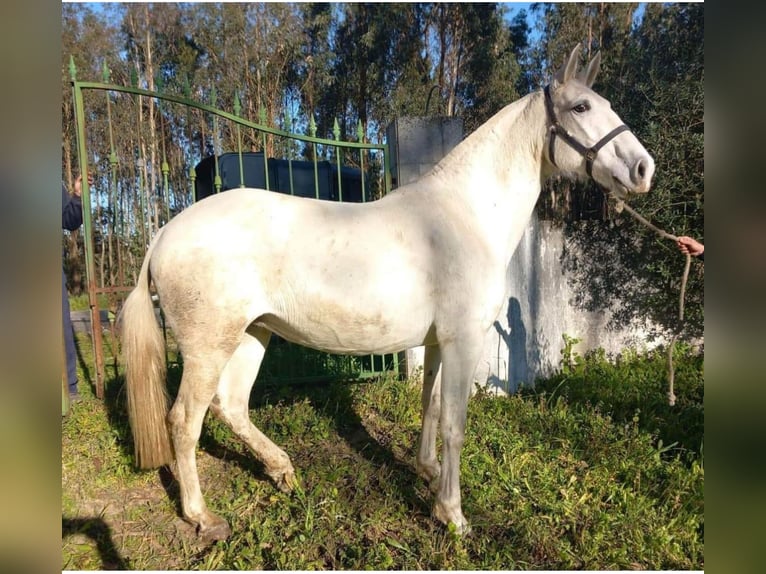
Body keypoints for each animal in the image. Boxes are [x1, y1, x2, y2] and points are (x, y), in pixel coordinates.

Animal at [120, 46, 656, 544]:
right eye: (582, 106)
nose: (643, 169)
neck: (465, 216)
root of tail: (165, 233)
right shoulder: (464, 340)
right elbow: (455, 424)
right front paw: (453, 515)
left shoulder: (438, 342)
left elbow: (430, 407)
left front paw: (429, 473)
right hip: (209, 346)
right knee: (184, 420)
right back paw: (202, 516)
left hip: (253, 334)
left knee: (230, 406)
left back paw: (282, 470)